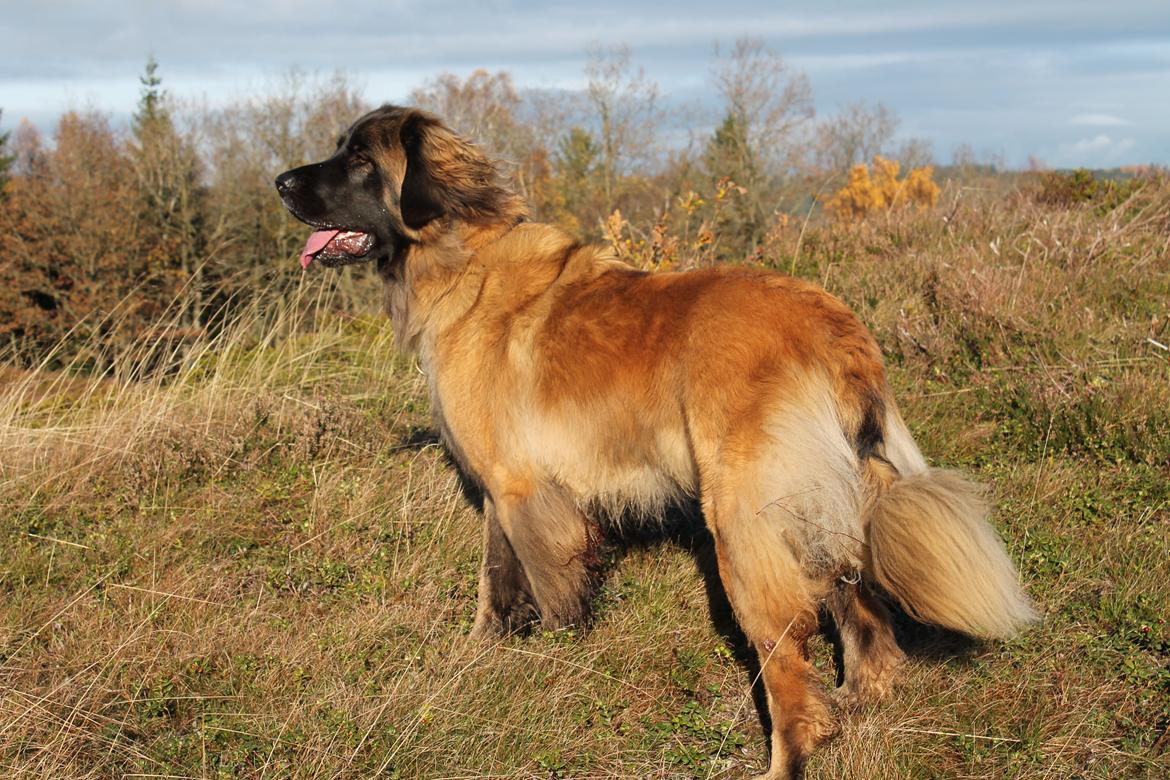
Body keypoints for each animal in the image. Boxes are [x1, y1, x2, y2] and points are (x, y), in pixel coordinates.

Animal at [278, 105, 1038, 780]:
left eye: (359, 158)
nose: (280, 182)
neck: (462, 254)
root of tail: (833, 328)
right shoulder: (499, 487)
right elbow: (495, 580)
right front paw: (484, 651)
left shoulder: (523, 490)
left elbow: (544, 585)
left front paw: (556, 657)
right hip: (826, 501)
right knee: (861, 617)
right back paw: (859, 702)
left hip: (743, 525)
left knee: (788, 664)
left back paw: (786, 755)